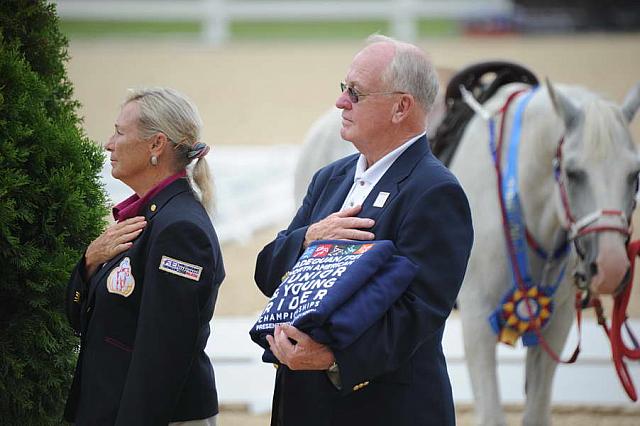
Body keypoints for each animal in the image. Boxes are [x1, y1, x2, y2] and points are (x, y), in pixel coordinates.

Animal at [452, 80, 640, 426]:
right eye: (573, 172)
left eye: (634, 174)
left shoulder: (556, 321)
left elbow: (537, 413)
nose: (611, 268)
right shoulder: (476, 319)